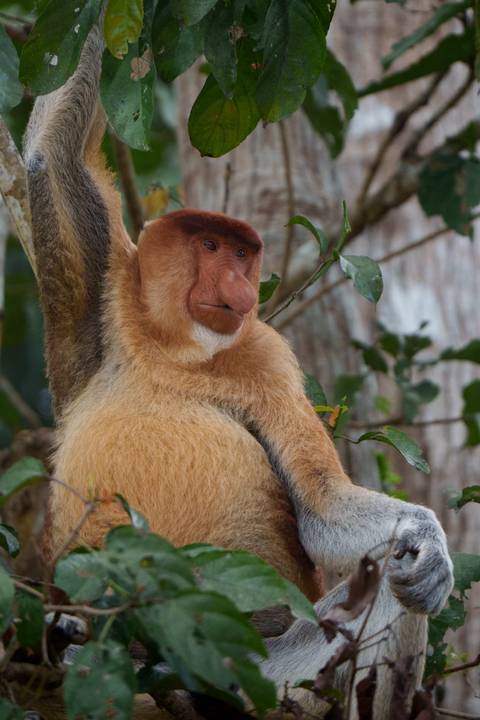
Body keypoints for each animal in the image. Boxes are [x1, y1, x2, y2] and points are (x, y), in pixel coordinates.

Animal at [22, 27, 453, 717]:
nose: (240, 286)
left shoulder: (269, 360)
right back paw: (66, 638)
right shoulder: (110, 300)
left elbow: (321, 506)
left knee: (390, 577)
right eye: (211, 246)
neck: (179, 351)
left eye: (246, 254)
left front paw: (431, 549)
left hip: (264, 665)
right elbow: (50, 159)